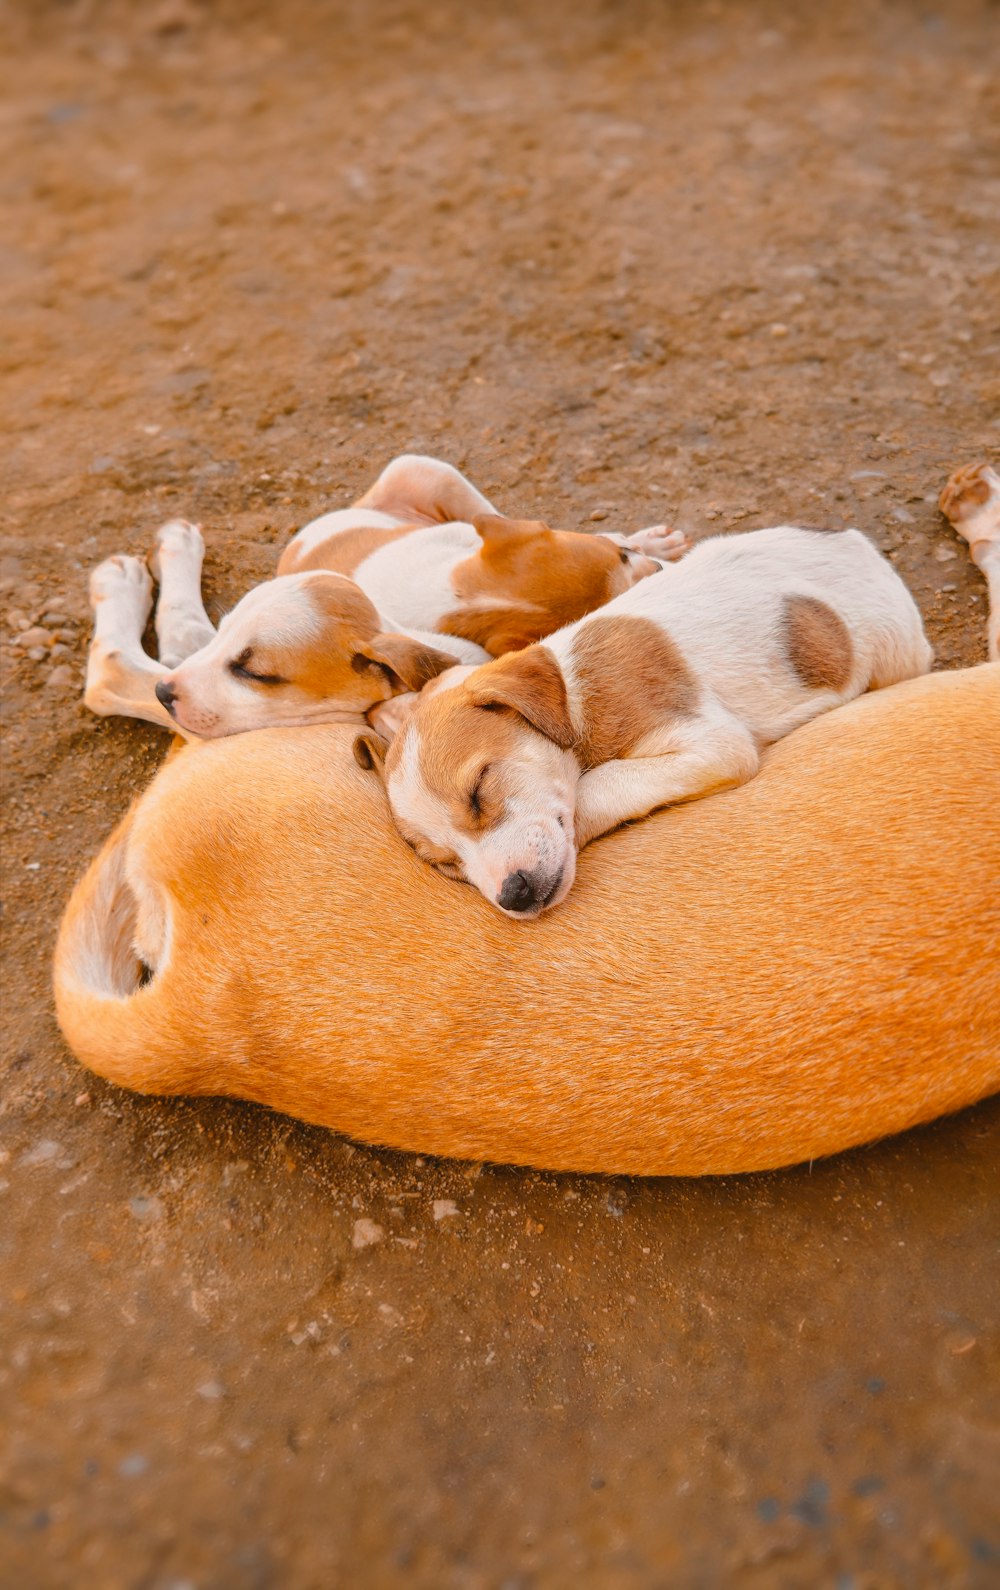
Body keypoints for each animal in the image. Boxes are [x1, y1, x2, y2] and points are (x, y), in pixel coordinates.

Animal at [354, 521, 934, 922]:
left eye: (479, 790)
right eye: (447, 864)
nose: (512, 896)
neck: (575, 697)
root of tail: (856, 543)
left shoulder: (711, 742)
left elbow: (597, 786)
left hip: (895, 656)